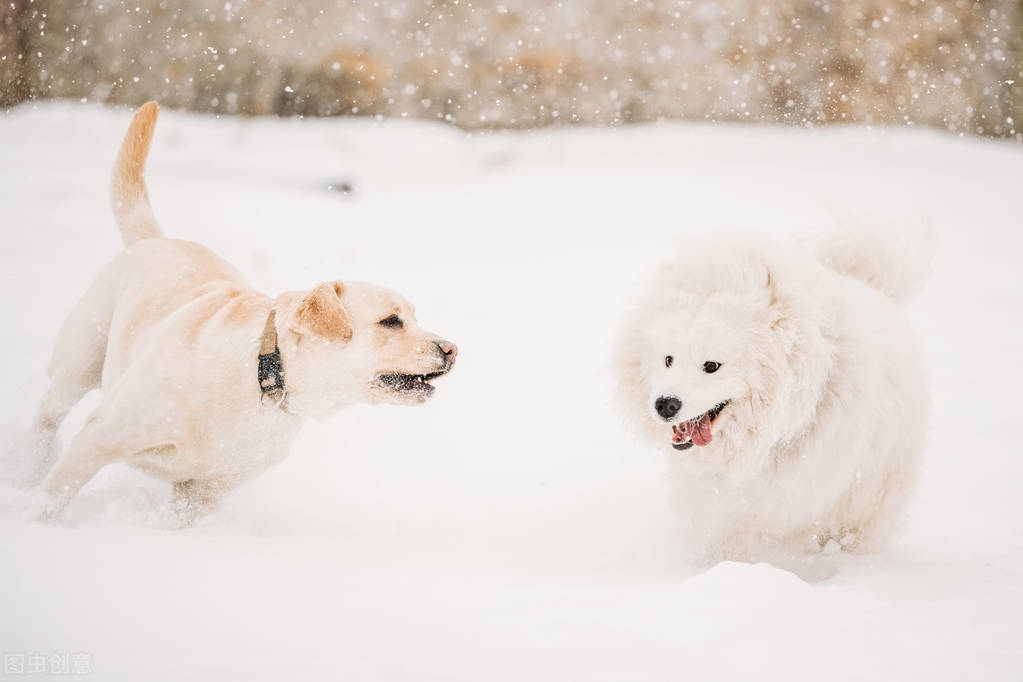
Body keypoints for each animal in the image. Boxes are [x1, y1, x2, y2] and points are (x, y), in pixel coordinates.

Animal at [32, 104, 456, 527]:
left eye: (414, 316)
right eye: (391, 321)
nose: (452, 349)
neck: (265, 374)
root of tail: (156, 239)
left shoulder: (203, 491)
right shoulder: (102, 435)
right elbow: (53, 498)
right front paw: (34, 519)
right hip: (78, 362)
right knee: (48, 415)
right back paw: (32, 464)